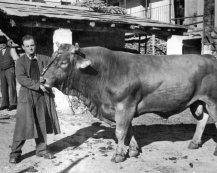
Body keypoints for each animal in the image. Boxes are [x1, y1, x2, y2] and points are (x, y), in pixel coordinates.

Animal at [42, 43, 217, 162]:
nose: (42, 79)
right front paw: (133, 150)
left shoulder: (124, 106)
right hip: (199, 101)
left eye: (63, 63)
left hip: (213, 101)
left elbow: (120, 131)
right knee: (202, 120)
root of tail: (208, 56)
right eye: (51, 58)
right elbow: (130, 129)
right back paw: (194, 143)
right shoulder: (125, 108)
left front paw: (119, 154)